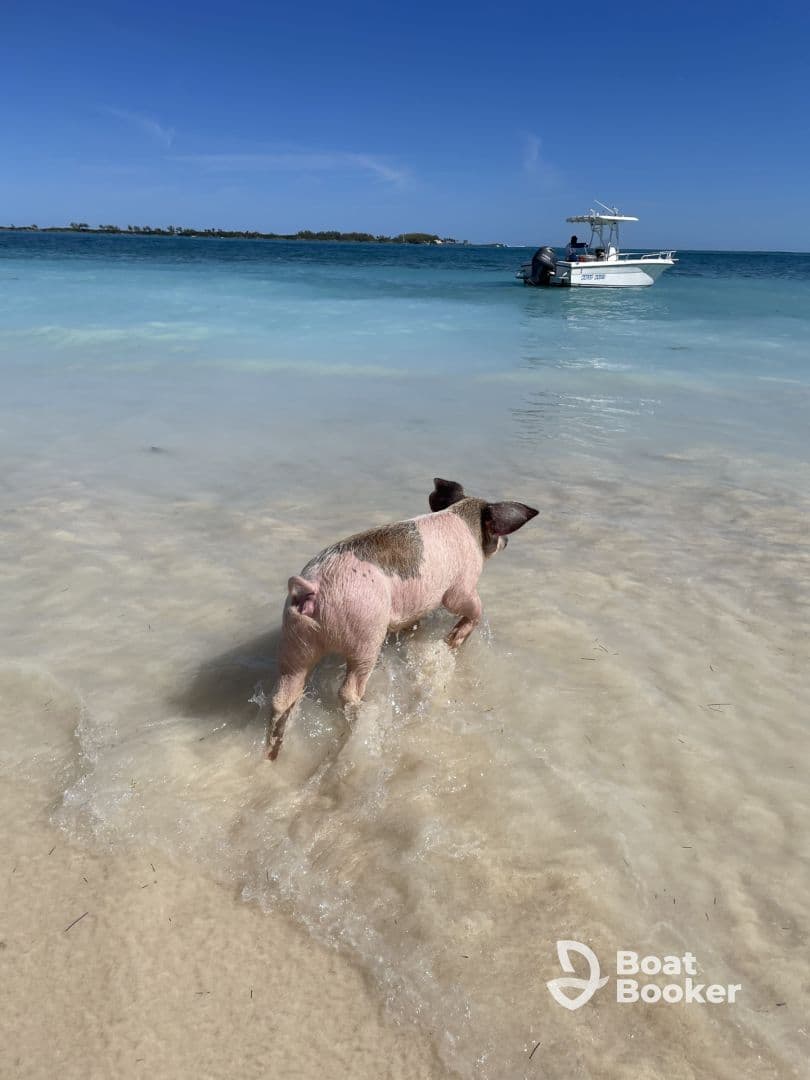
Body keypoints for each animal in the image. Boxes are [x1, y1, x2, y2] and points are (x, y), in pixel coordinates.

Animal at [266, 478, 538, 760]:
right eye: (495, 531)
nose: (507, 541)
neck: (465, 518)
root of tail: (313, 589)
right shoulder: (460, 587)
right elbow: (474, 608)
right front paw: (451, 641)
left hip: (295, 641)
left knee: (283, 695)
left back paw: (272, 754)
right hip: (365, 636)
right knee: (348, 690)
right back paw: (367, 709)